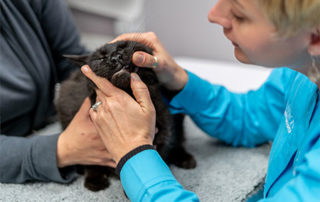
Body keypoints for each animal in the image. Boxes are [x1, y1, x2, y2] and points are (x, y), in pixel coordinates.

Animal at [56, 40, 196, 192]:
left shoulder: (163, 129)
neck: (130, 96)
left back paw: (185, 158)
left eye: (123, 46)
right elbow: (89, 161)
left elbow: (155, 157)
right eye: (101, 58)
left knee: (178, 139)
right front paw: (95, 179)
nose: (115, 57)